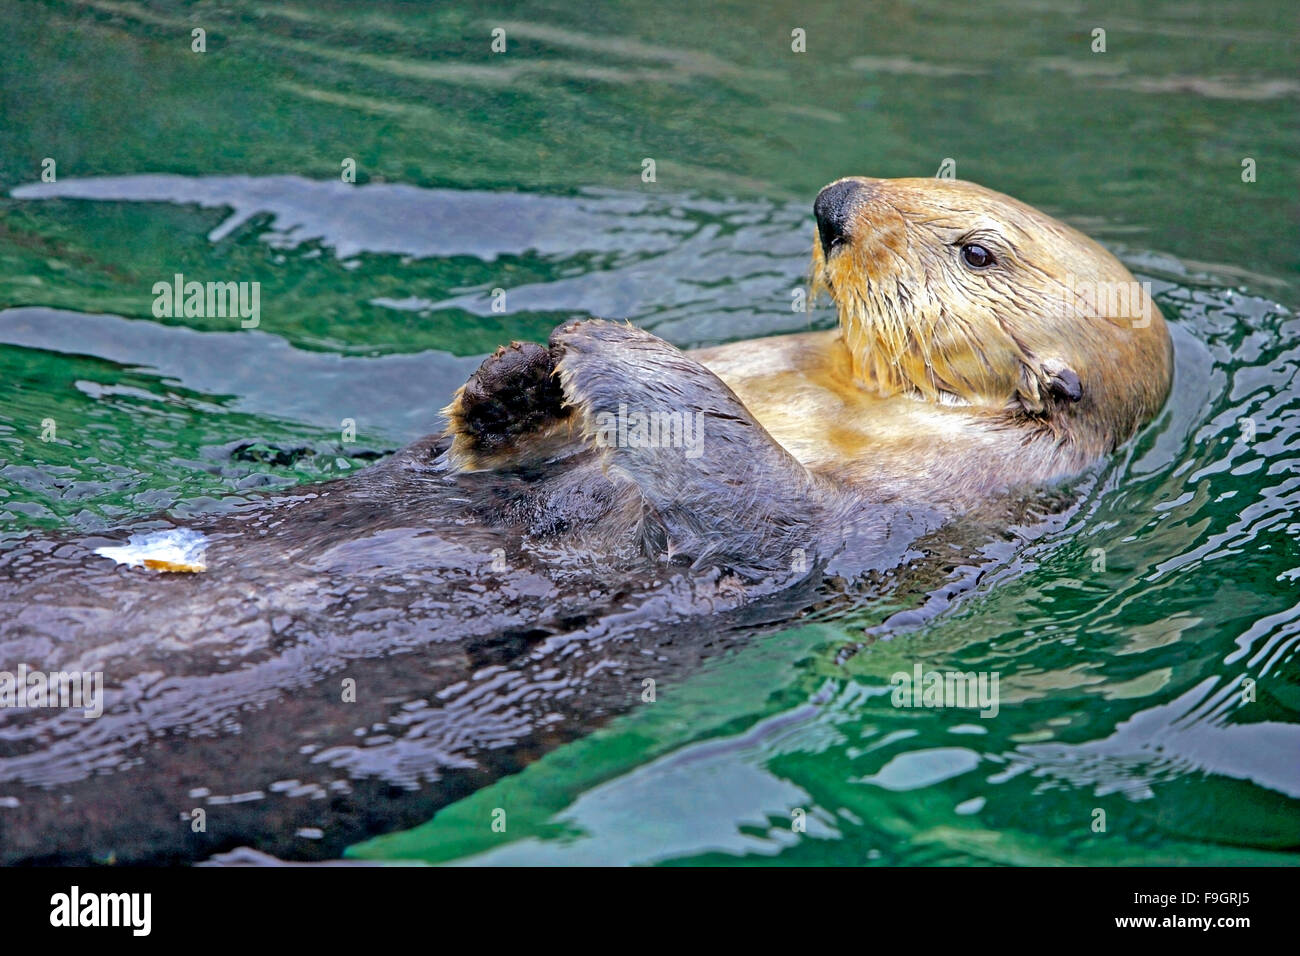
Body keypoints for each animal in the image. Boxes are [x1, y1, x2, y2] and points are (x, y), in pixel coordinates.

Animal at [0, 177, 1172, 864]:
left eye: (977, 251)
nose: (836, 201)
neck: (842, 390)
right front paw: (517, 379)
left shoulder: (909, 513)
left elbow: (763, 506)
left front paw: (612, 348)